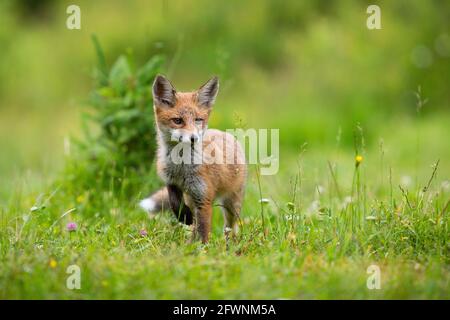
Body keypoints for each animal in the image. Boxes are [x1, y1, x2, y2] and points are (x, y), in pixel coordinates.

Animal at [140, 75, 246, 242]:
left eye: (198, 120)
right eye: (177, 121)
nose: (193, 138)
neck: (181, 167)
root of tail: (224, 133)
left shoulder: (203, 198)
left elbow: (203, 231)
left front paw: (202, 248)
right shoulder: (171, 181)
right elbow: (175, 202)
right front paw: (183, 217)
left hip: (231, 204)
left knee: (230, 227)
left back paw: (231, 243)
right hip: (192, 198)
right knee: (195, 225)